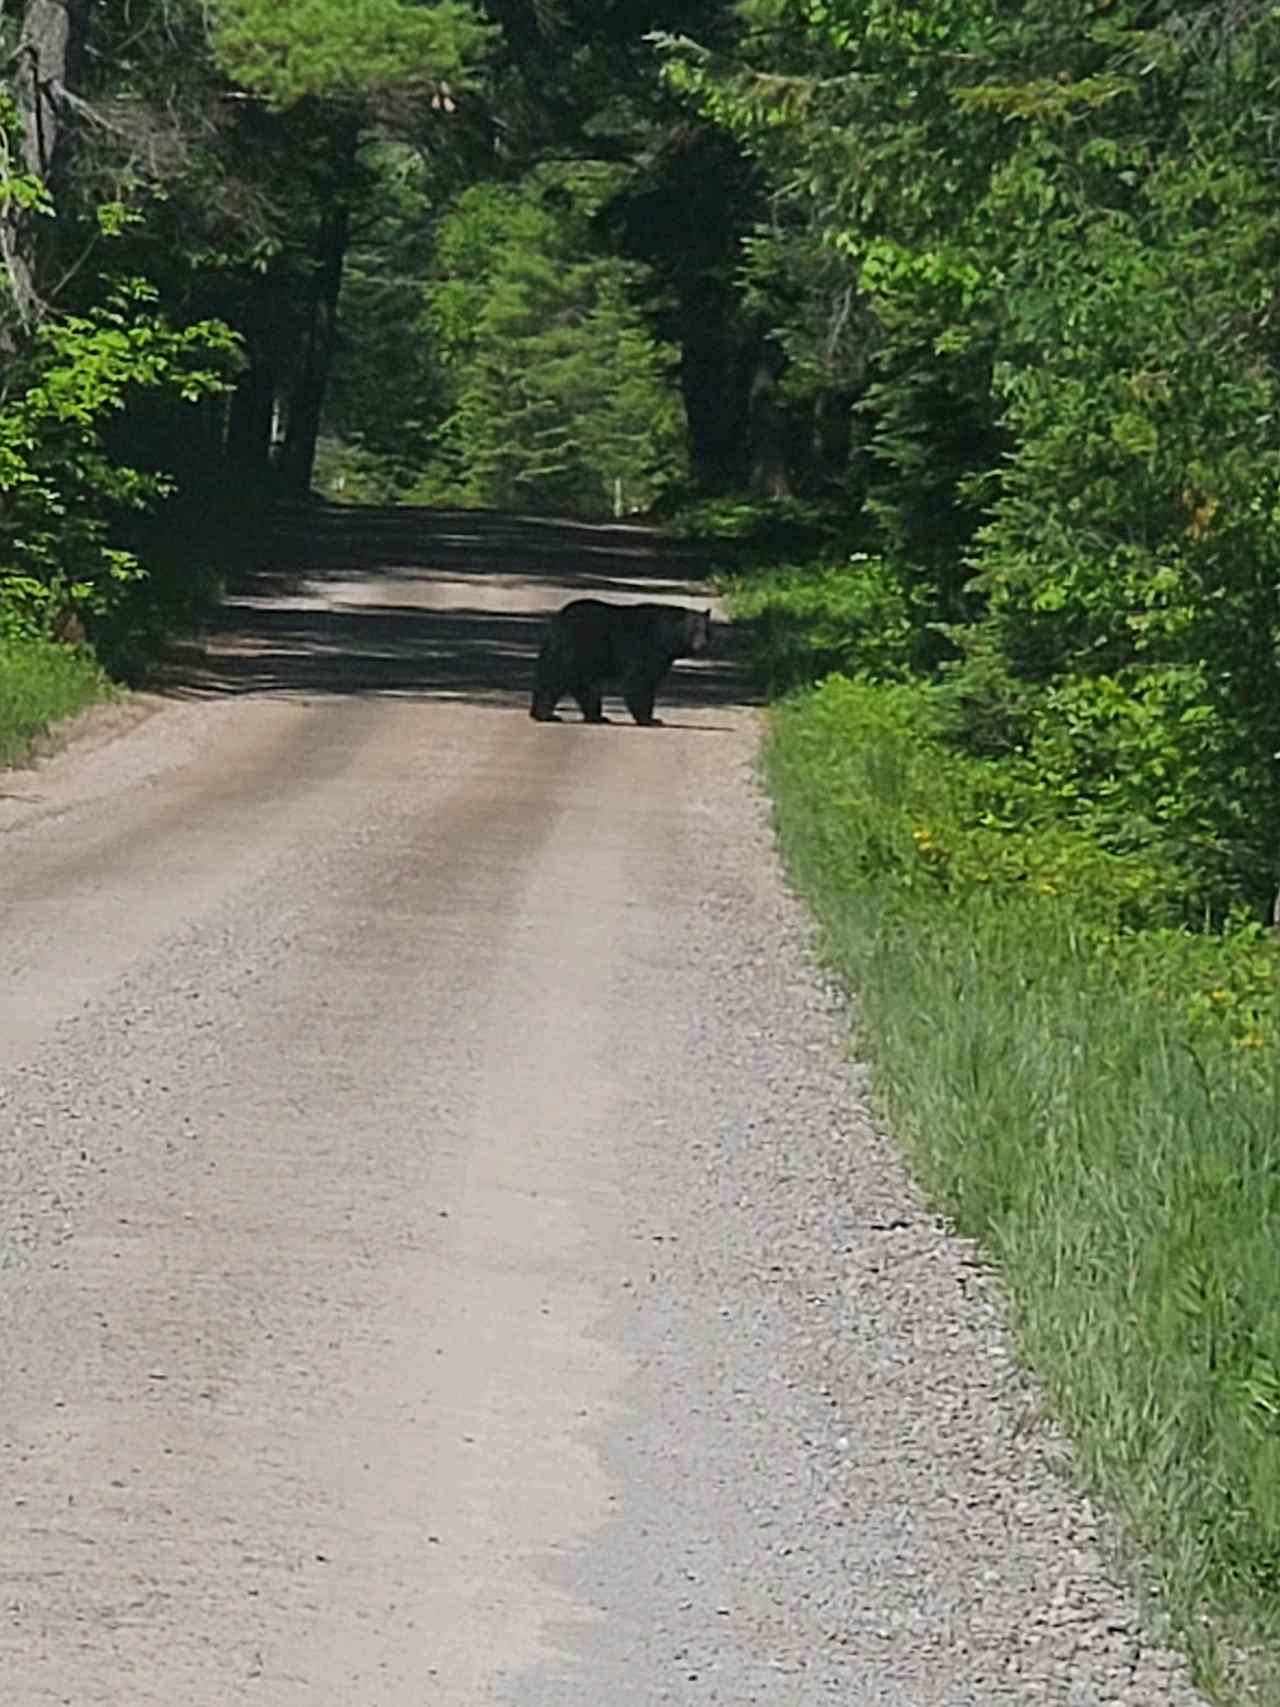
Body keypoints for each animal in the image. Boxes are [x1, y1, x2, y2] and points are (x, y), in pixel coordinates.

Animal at [529, 597, 713, 723]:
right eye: (693, 630)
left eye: (706, 630)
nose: (702, 644)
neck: (665, 639)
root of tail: (556, 622)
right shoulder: (645, 649)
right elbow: (639, 682)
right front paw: (649, 719)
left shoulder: (661, 658)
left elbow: (651, 680)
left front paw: (653, 718)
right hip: (573, 649)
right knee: (555, 679)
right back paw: (545, 714)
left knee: (582, 687)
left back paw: (597, 716)